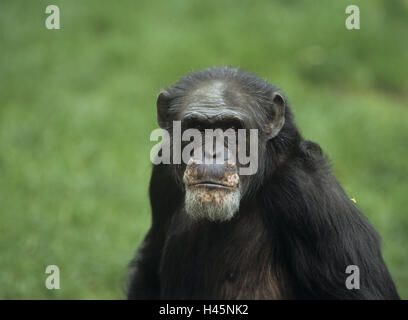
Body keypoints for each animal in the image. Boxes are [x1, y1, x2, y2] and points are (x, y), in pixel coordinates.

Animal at [126, 66, 398, 298]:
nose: (212, 153)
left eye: (232, 127)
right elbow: (150, 265)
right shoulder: (162, 173)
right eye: (196, 127)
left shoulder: (313, 195)